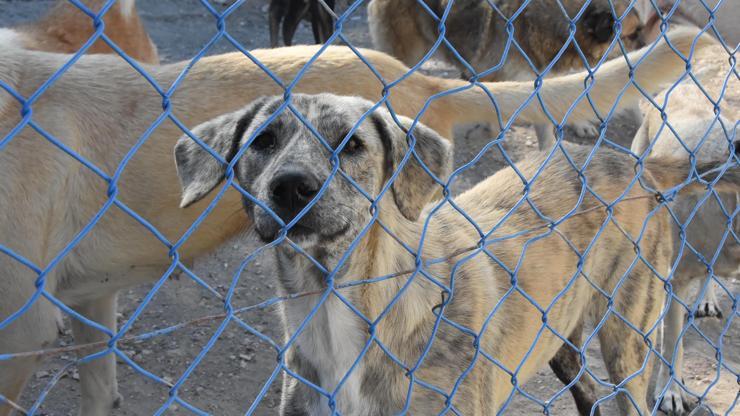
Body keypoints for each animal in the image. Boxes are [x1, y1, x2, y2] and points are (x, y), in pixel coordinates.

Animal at [175, 92, 740, 414]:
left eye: (351, 144)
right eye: (262, 141)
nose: (292, 188)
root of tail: (636, 165)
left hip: (628, 338)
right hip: (561, 342)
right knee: (587, 394)